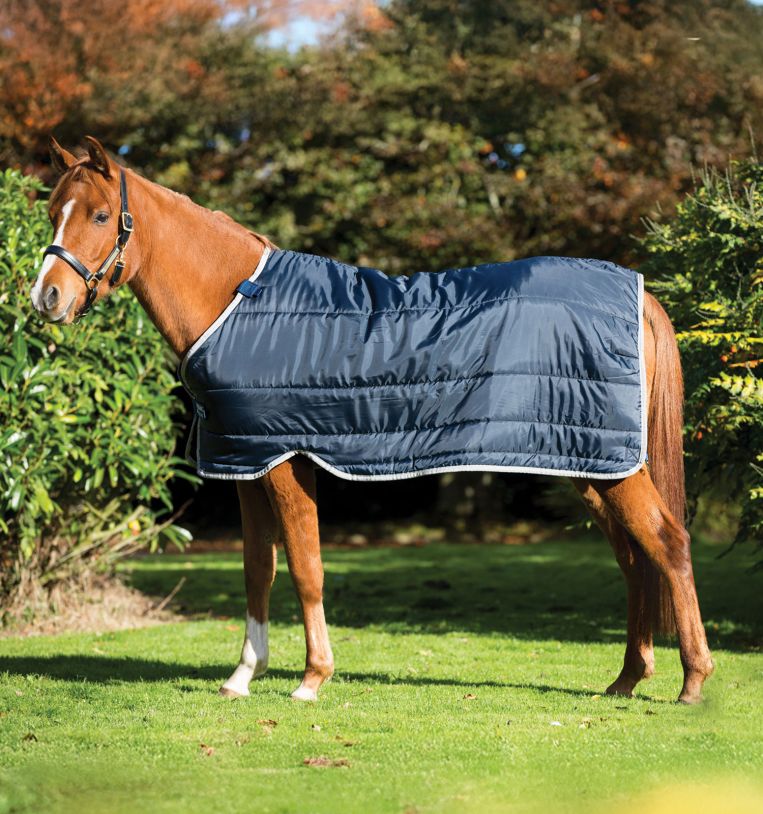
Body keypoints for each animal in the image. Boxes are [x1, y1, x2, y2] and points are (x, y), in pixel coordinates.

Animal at [30, 136, 714, 704]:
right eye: (52, 212)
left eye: (99, 216)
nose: (46, 298)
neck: (237, 303)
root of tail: (638, 295)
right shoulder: (246, 461)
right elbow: (258, 571)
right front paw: (242, 676)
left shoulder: (286, 461)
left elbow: (305, 568)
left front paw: (312, 679)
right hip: (587, 463)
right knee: (635, 557)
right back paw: (627, 679)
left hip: (610, 466)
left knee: (669, 545)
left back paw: (691, 682)